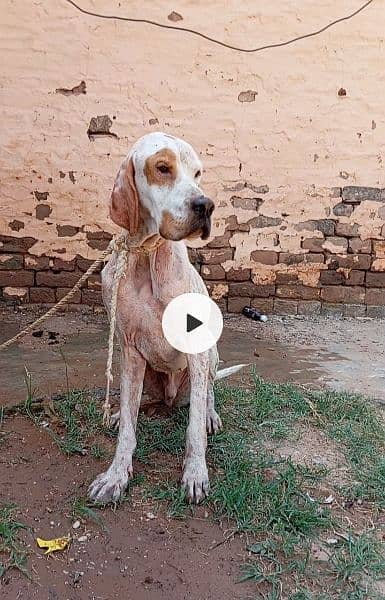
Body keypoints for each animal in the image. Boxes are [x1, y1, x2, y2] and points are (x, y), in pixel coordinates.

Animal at [88, 132, 242, 506]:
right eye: (162, 168)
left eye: (198, 173)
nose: (206, 206)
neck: (148, 255)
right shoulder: (128, 349)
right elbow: (129, 430)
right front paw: (115, 476)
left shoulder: (198, 352)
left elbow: (194, 429)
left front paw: (195, 474)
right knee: (142, 402)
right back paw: (122, 413)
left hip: (210, 357)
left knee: (206, 395)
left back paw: (211, 415)